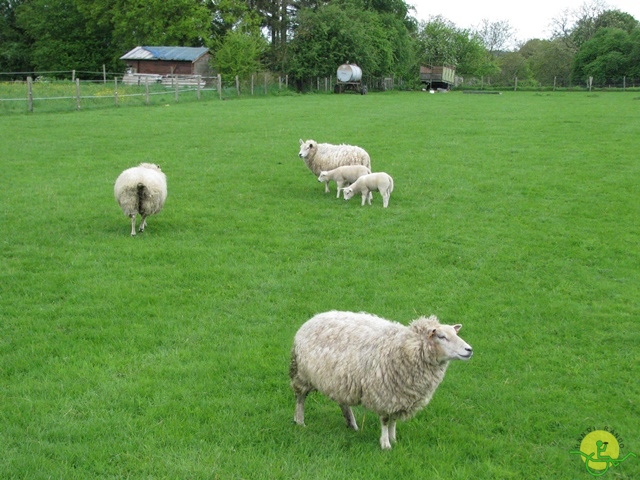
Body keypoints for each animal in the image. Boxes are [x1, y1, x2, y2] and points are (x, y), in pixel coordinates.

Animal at [292, 312, 472, 450]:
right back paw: (299, 421)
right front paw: (385, 444)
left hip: (339, 379)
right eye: (441, 336)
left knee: (343, 402)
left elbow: (394, 420)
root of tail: (314, 317)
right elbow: (385, 421)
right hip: (302, 374)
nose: (469, 350)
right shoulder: (385, 394)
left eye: (456, 334)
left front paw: (394, 439)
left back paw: (352, 424)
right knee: (300, 398)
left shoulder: (399, 396)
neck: (405, 347)